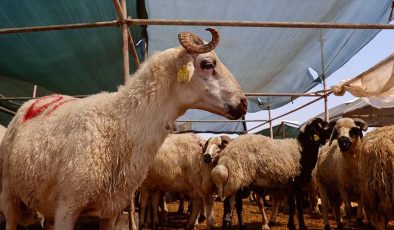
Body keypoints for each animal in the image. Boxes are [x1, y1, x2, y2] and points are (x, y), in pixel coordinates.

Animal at [0, 27, 246, 230]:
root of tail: (33, 103)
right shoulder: (67, 207)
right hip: (9, 194)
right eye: (208, 64)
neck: (119, 124)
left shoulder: (110, 208)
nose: (243, 103)